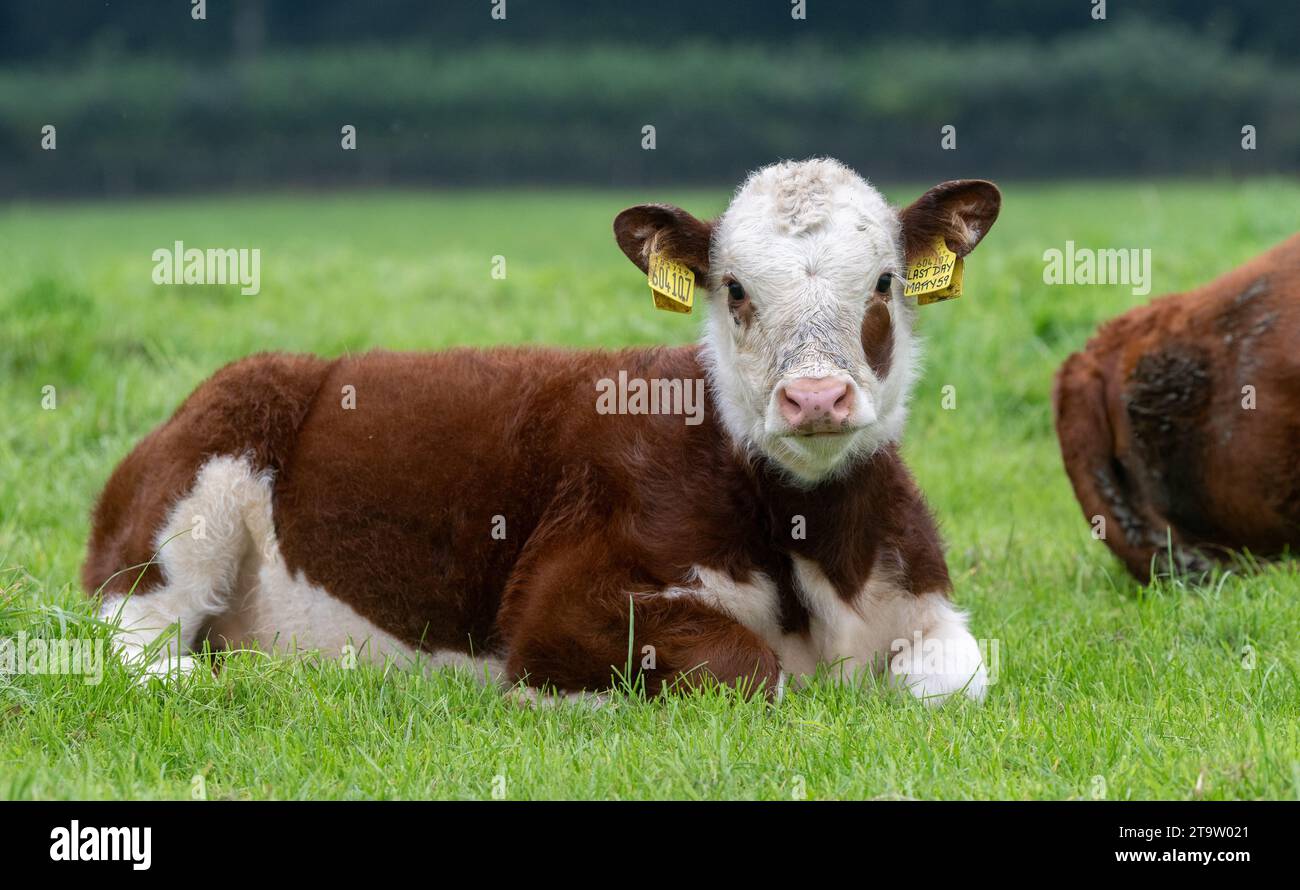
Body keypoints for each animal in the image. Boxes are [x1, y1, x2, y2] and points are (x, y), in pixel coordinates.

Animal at [84, 158, 1002, 703]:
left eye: (882, 283)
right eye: (736, 290)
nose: (815, 399)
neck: (816, 553)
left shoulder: (926, 605)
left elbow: (958, 680)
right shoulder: (564, 597)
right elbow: (746, 668)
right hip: (183, 508)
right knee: (131, 643)